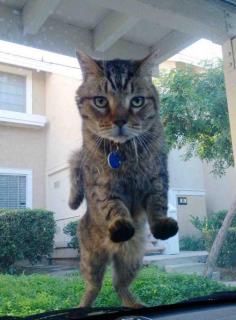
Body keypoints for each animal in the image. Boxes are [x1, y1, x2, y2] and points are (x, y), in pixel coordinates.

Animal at [69, 50, 178, 308]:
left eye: (136, 101)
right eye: (100, 101)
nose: (120, 121)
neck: (124, 153)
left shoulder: (157, 178)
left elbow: (158, 204)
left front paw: (161, 223)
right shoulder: (102, 186)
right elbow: (114, 207)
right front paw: (120, 223)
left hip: (132, 259)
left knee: (119, 285)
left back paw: (136, 305)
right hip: (92, 259)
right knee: (94, 285)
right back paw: (81, 308)